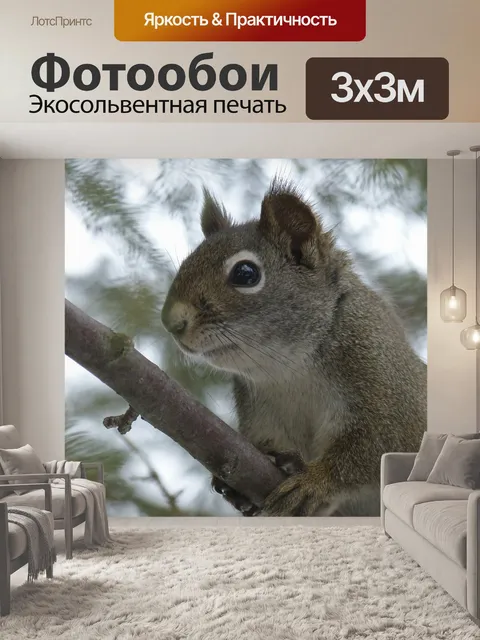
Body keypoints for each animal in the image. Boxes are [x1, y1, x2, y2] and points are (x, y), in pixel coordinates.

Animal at [161, 179, 427, 517]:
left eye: (245, 273)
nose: (171, 322)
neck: (290, 368)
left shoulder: (391, 395)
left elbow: (372, 449)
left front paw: (315, 481)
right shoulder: (262, 417)